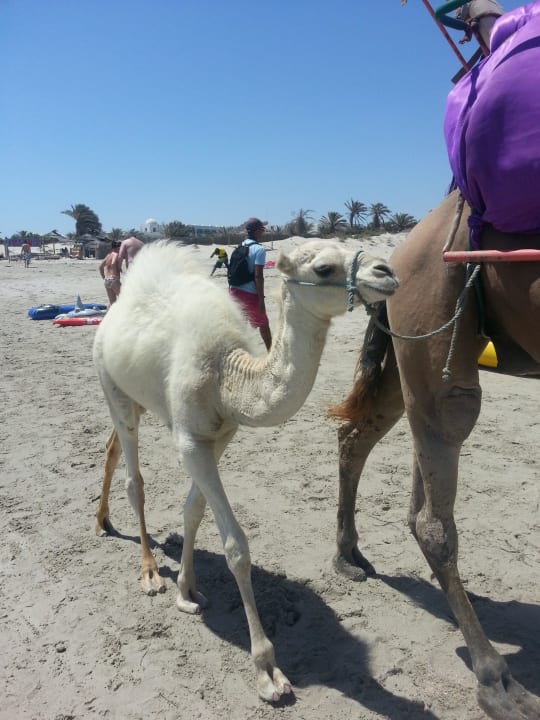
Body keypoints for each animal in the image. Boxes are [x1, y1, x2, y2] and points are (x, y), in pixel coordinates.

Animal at [92, 239, 398, 703]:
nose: (387, 271)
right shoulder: (189, 440)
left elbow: (192, 510)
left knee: (112, 449)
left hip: (136, 398)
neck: (227, 376)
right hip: (113, 388)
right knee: (134, 480)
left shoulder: (219, 435)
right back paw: (148, 571)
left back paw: (103, 521)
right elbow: (236, 546)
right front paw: (267, 670)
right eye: (324, 267)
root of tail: (111, 313)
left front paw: (188, 591)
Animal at [331, 189, 540, 720]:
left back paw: (348, 555)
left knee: (358, 438)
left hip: (407, 351)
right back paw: (498, 682)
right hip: (434, 326)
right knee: (434, 511)